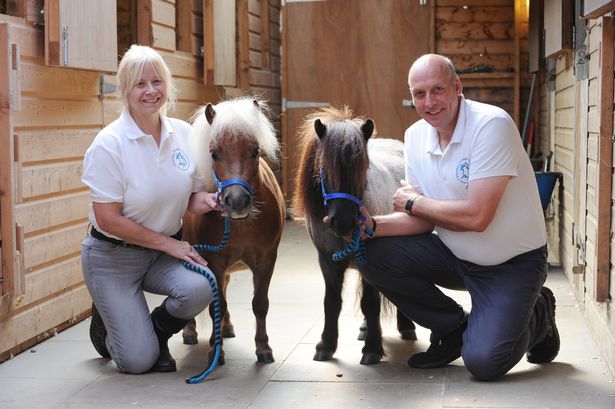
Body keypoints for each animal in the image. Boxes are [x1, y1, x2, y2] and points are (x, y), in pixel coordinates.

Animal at [183, 96, 286, 364]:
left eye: (255, 151)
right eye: (214, 153)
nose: (237, 201)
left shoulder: (266, 260)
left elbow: (260, 304)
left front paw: (263, 348)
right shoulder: (213, 261)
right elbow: (215, 306)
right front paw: (214, 350)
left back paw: (227, 328)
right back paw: (189, 331)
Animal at [292, 105, 416, 364]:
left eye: (363, 169)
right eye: (324, 170)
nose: (343, 222)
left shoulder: (368, 262)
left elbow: (370, 303)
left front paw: (372, 348)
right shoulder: (327, 262)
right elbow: (331, 303)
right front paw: (326, 345)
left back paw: (405, 325)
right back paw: (366, 329)